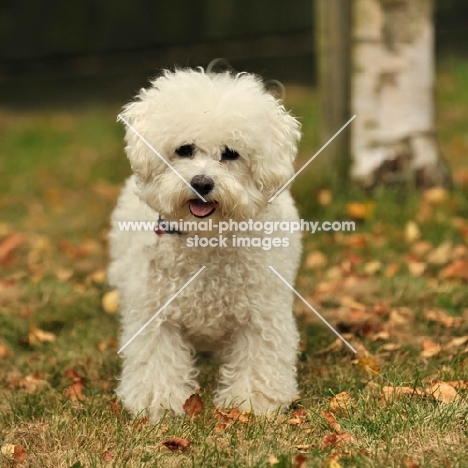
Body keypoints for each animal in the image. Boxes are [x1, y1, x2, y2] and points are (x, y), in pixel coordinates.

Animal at [108, 66, 302, 420]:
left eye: (231, 153)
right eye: (185, 149)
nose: (201, 183)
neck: (206, 238)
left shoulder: (262, 311)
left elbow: (259, 356)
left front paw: (251, 402)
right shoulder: (154, 310)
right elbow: (156, 358)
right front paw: (158, 401)